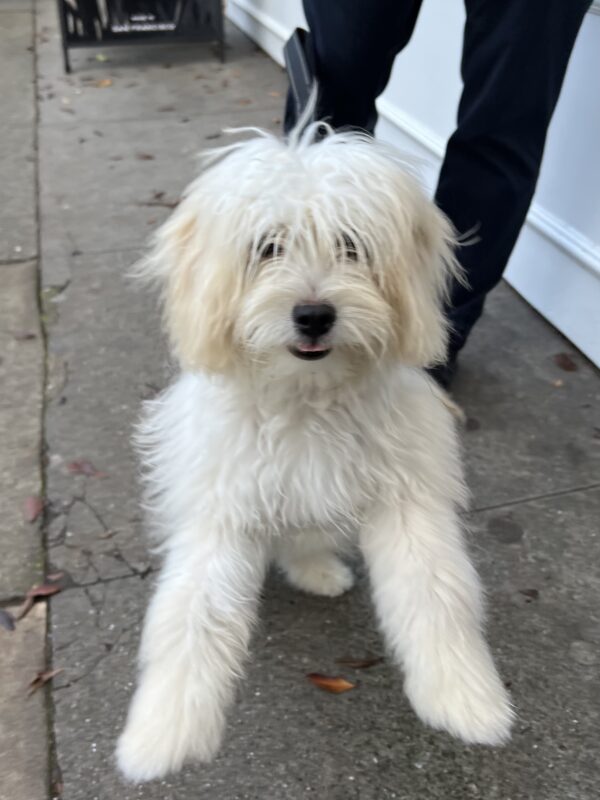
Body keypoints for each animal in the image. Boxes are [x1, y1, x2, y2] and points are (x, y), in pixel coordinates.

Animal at [118, 123, 516, 780]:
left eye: (351, 246)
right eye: (268, 247)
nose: (313, 315)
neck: (307, 396)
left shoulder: (405, 497)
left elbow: (436, 592)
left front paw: (467, 699)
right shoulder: (223, 509)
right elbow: (190, 616)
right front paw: (161, 731)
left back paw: (318, 570)